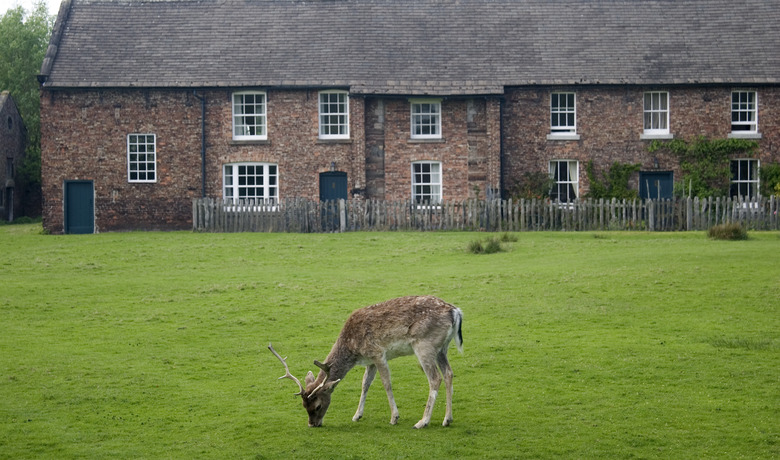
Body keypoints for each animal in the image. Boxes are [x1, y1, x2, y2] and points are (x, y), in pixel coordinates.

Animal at [270, 296, 464, 430]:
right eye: (303, 405)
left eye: (317, 406)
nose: (312, 424)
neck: (352, 349)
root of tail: (455, 312)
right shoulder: (370, 361)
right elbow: (365, 384)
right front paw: (357, 415)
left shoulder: (378, 353)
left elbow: (386, 383)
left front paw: (394, 417)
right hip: (442, 348)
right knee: (449, 373)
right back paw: (447, 419)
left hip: (424, 345)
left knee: (435, 378)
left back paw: (422, 422)